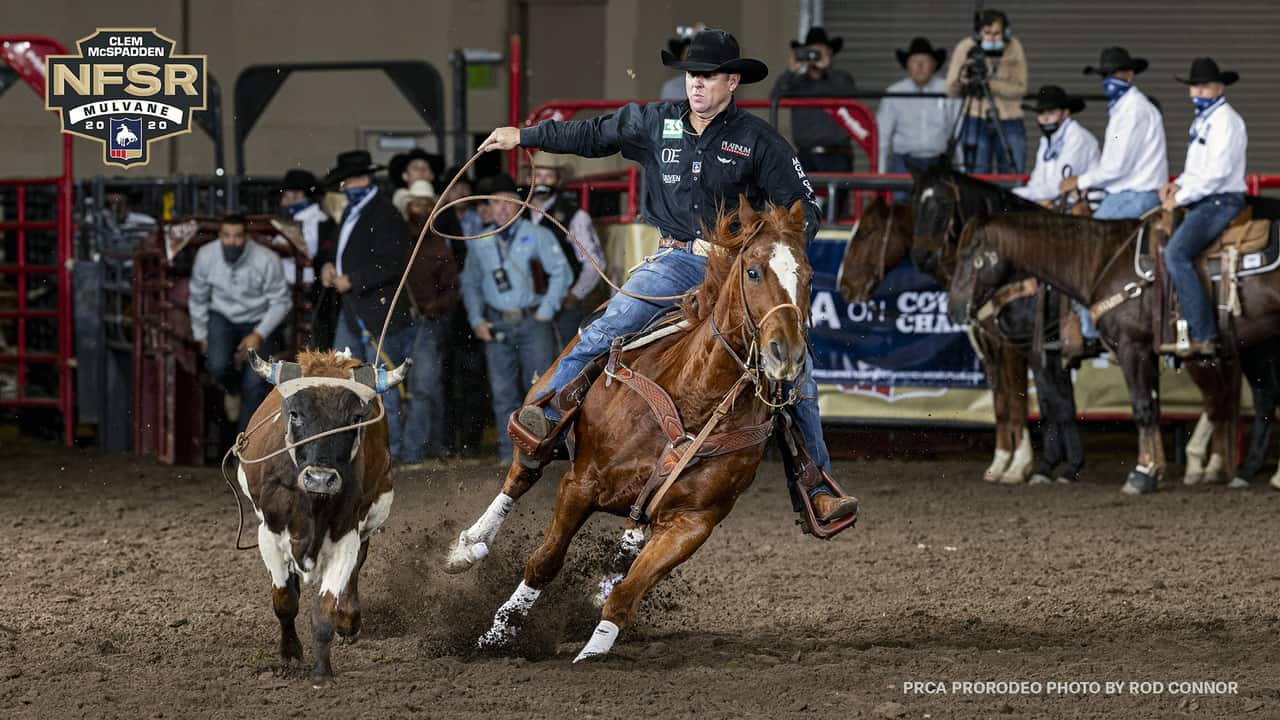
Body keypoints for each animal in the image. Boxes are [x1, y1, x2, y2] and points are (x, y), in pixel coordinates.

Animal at [445, 198, 814, 661]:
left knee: (629, 542)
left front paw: (592, 653)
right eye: (753, 271)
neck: (695, 397)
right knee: (521, 474)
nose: (787, 353)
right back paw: (469, 544)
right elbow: (545, 561)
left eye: (808, 276)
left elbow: (626, 594)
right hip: (543, 419)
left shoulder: (693, 523)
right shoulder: (580, 484)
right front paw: (496, 635)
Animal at [947, 211, 1280, 491]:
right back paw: (1244, 472)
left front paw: (1141, 474)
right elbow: (1143, 407)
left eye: (971, 257)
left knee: (1226, 398)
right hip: (1255, 347)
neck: (1098, 261)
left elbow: (1135, 407)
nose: (953, 308)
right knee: (1259, 399)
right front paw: (1153, 470)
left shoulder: (1126, 348)